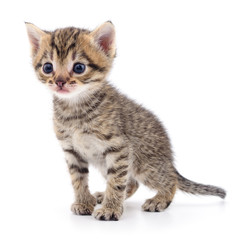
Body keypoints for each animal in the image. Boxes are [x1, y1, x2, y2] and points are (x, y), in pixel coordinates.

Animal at [25, 21, 226, 220]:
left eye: (79, 67)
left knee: (170, 180)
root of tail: (169, 157)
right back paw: (103, 195)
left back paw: (159, 199)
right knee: (132, 183)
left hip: (144, 165)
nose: (59, 82)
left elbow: (116, 180)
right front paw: (84, 202)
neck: (75, 109)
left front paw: (110, 209)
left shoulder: (118, 147)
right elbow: (78, 179)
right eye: (48, 67)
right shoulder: (71, 149)